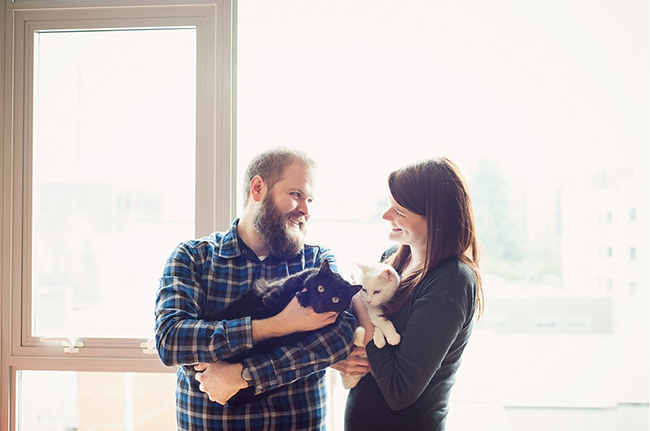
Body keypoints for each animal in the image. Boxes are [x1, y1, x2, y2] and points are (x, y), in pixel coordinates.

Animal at [186, 262, 360, 406]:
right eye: (321, 288)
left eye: (335, 299)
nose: (320, 303)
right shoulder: (296, 278)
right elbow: (286, 286)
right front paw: (273, 298)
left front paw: (303, 298)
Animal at [340, 262, 400, 390]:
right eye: (364, 289)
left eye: (377, 292)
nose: (368, 300)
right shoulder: (371, 310)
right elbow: (383, 322)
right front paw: (392, 336)